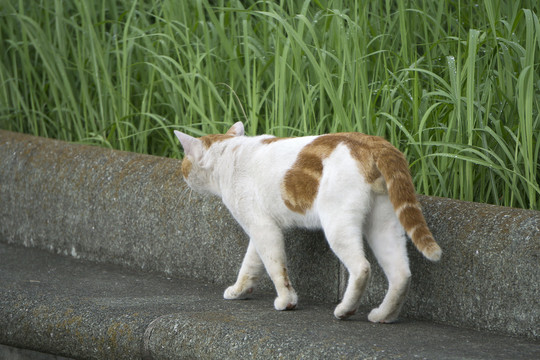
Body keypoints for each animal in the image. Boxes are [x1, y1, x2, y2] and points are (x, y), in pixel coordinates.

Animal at [175, 121, 440, 324]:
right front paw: (240, 290)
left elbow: (275, 267)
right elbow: (251, 263)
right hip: (383, 224)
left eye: (185, 163)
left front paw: (286, 301)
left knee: (362, 267)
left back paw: (345, 310)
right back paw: (384, 315)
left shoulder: (263, 228)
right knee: (401, 273)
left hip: (338, 224)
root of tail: (372, 141)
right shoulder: (263, 228)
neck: (229, 154)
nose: (182, 173)